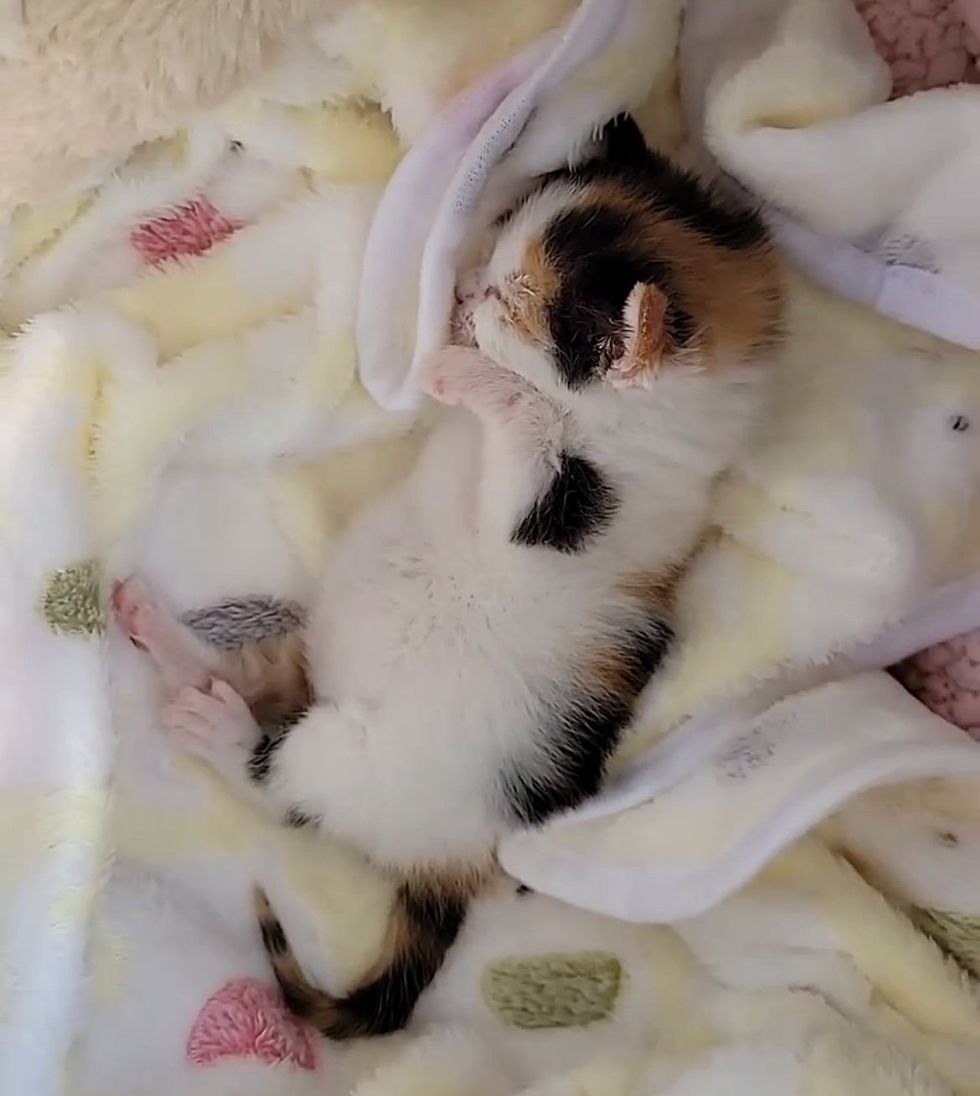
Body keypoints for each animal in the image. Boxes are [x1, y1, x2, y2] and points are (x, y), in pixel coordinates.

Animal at [112, 115, 780, 1039]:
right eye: (493, 240)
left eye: (505, 300)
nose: (463, 289)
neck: (646, 430)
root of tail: (454, 866)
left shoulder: (570, 513)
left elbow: (524, 432)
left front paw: (469, 374)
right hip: (309, 666)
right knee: (260, 677)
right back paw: (167, 639)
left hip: (359, 765)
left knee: (280, 777)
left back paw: (216, 727)